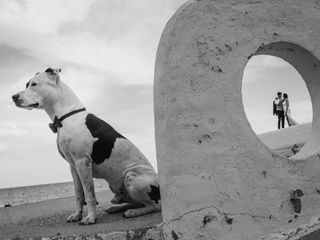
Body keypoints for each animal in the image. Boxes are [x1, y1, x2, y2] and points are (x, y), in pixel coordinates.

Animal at [11, 68, 160, 225]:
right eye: (26, 84)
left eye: (34, 84)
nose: (13, 97)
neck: (66, 116)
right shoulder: (73, 166)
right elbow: (78, 194)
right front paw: (77, 215)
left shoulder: (82, 162)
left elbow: (89, 195)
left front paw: (90, 218)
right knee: (139, 203)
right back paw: (118, 208)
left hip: (131, 176)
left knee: (153, 206)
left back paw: (133, 212)